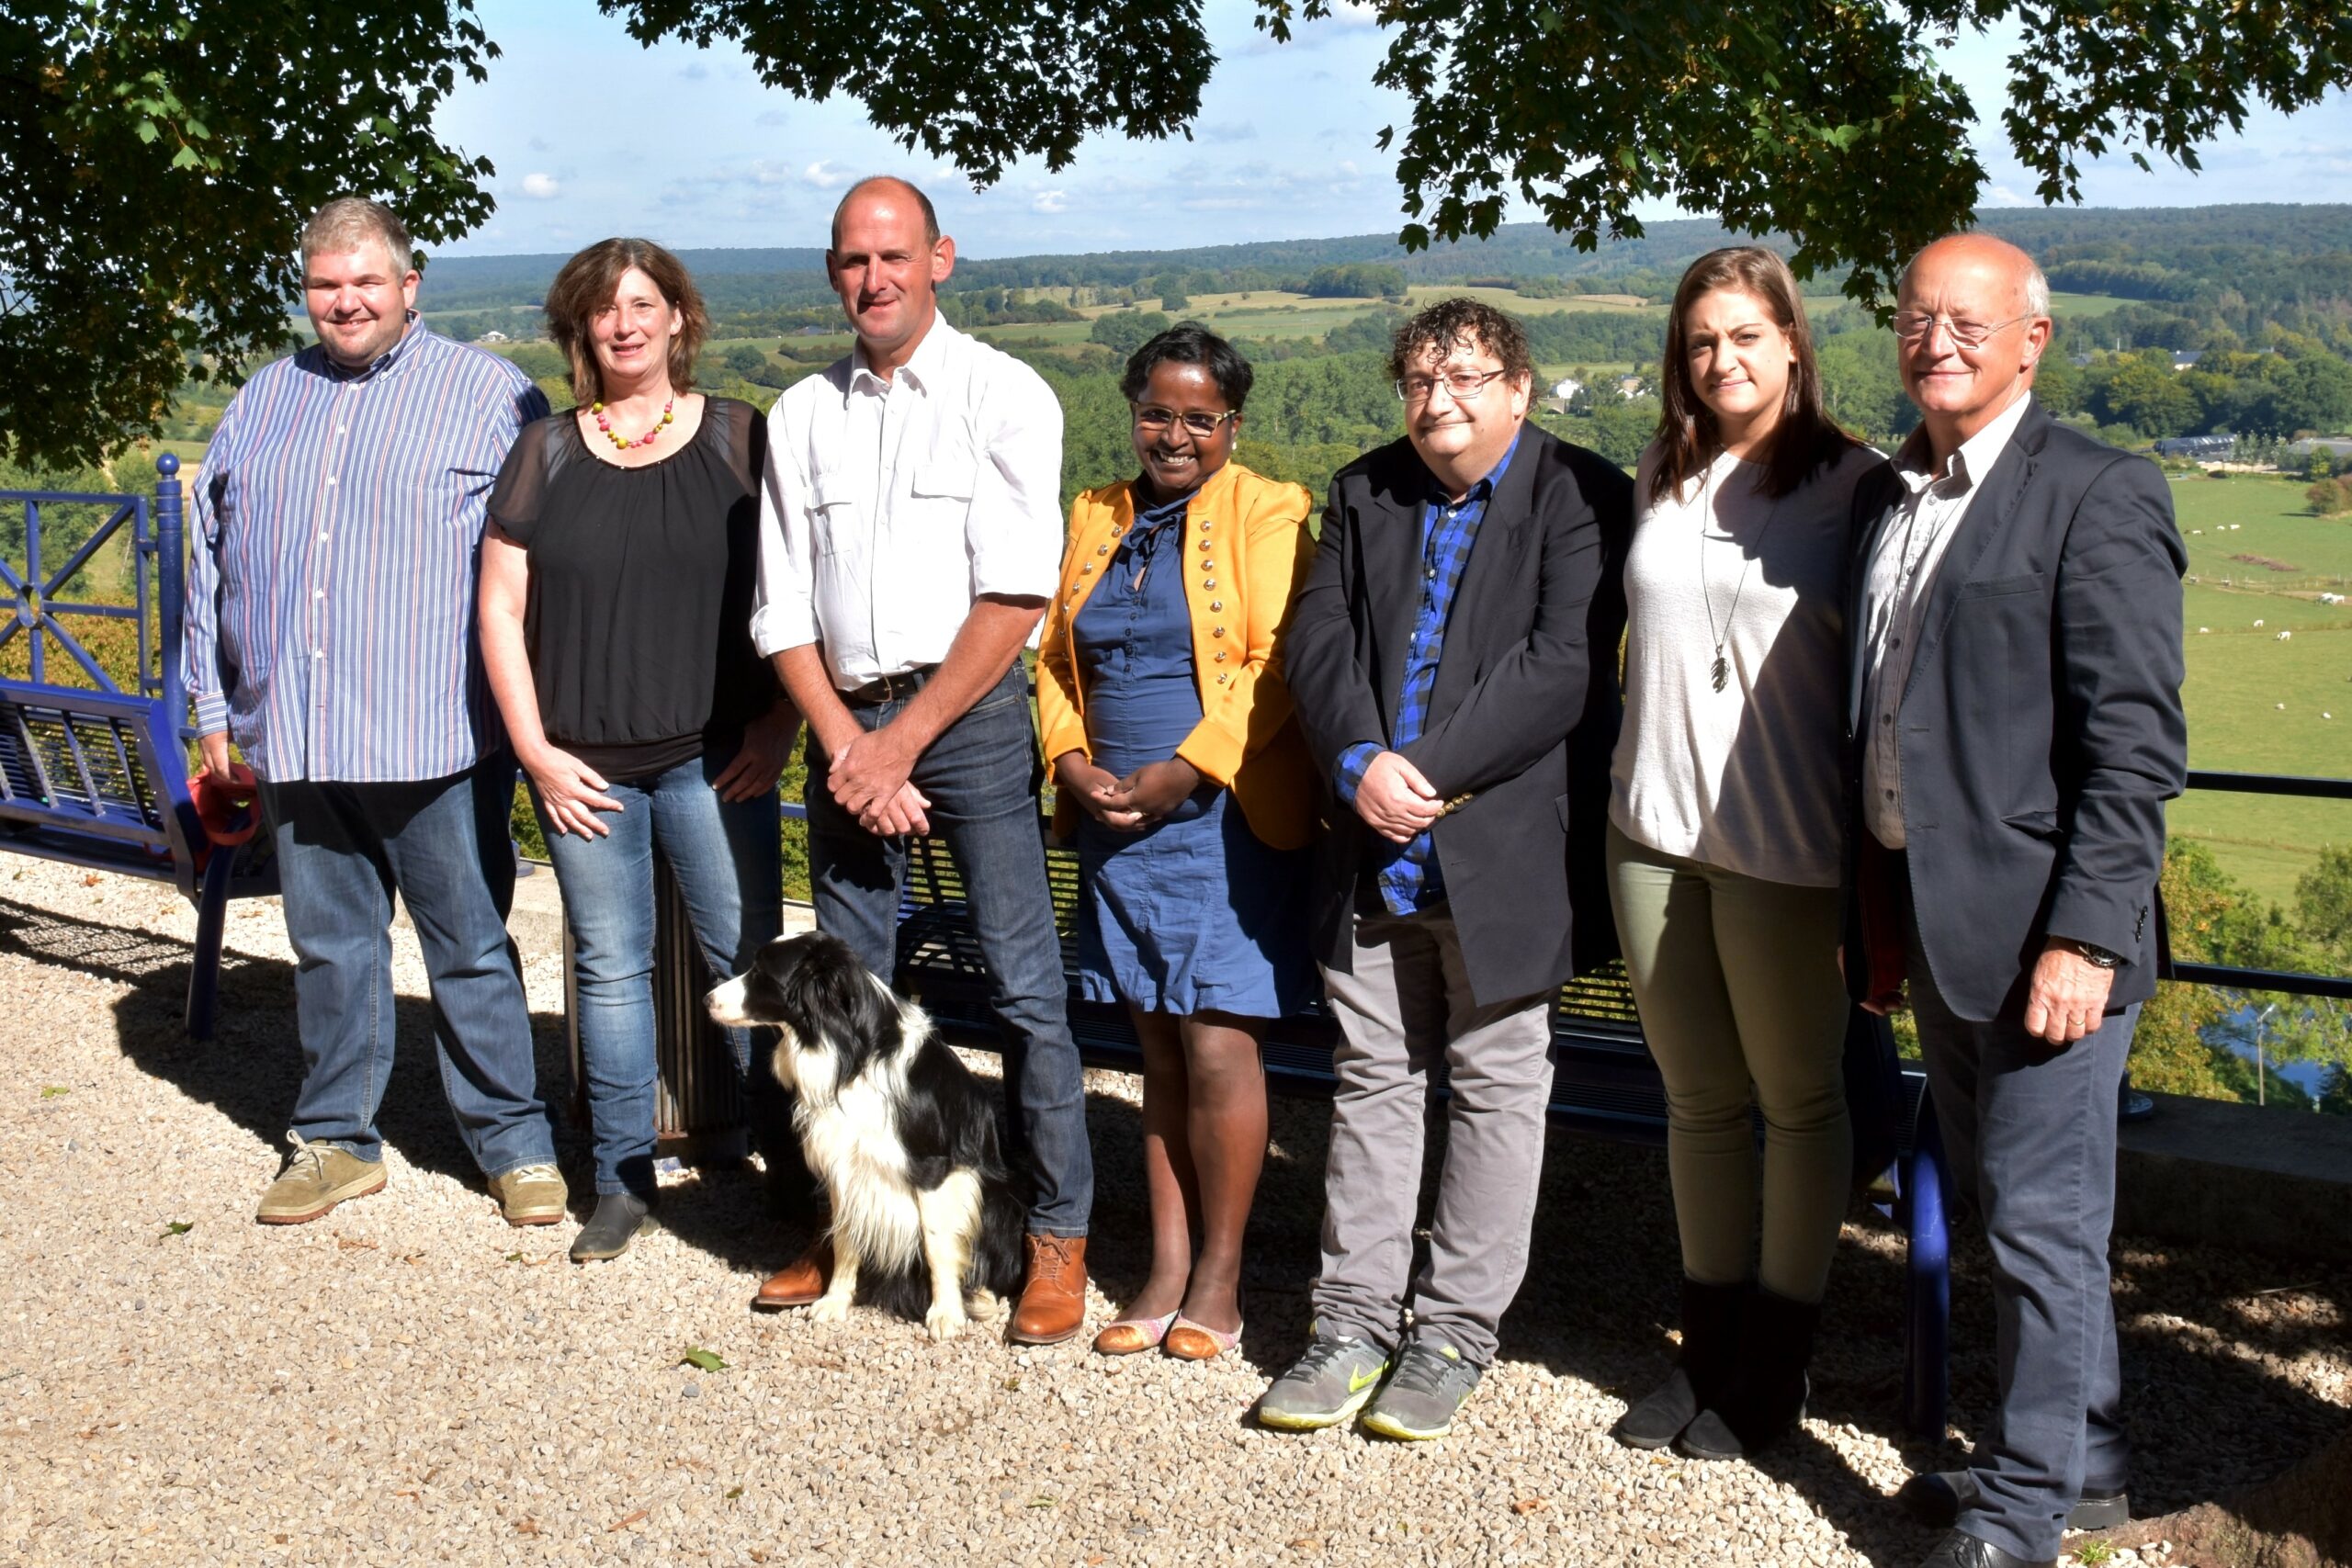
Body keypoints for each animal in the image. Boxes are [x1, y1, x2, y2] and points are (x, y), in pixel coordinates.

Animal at [700, 940, 1025, 1344]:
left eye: (761, 972)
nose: (706, 1000)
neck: (853, 1058)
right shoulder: (842, 1164)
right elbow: (845, 1237)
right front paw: (835, 1300)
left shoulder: (935, 1168)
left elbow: (936, 1244)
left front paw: (946, 1312)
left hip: (996, 1199)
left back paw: (981, 1297)